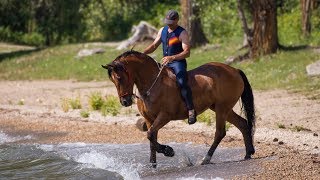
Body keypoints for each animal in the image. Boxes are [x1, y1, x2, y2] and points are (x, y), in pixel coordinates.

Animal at [101, 49, 256, 167]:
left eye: (119, 78)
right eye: (113, 80)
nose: (125, 101)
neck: (152, 85)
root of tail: (234, 70)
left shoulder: (165, 116)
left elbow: (150, 135)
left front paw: (168, 151)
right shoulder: (150, 120)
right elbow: (151, 138)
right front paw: (152, 165)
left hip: (221, 109)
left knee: (220, 132)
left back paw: (206, 159)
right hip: (222, 109)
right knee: (242, 123)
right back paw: (248, 153)